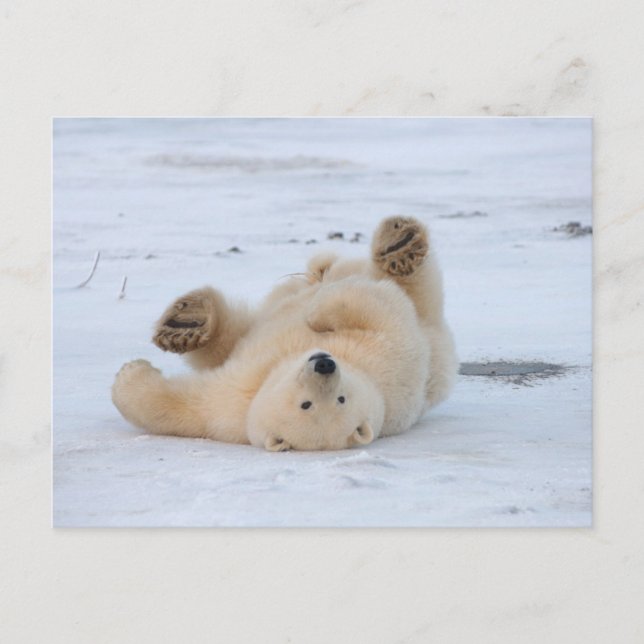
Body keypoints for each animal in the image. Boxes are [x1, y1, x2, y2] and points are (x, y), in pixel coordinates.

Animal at [111, 215, 458, 451]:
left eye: (340, 399)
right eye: (306, 404)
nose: (324, 363)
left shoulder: (389, 358)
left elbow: (378, 309)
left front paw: (128, 374)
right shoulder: (234, 402)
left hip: (432, 329)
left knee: (414, 289)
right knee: (237, 332)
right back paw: (186, 323)